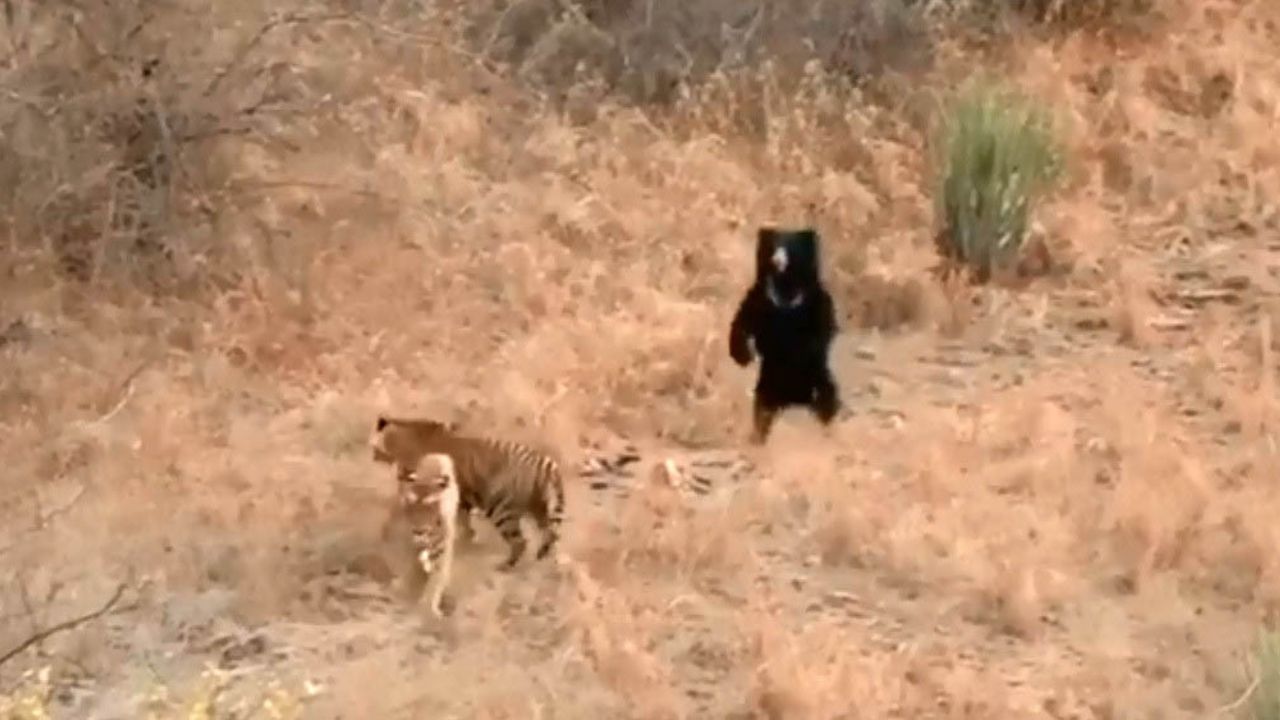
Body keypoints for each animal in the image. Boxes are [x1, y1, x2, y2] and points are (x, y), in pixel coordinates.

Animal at [370, 414, 566, 570]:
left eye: (374, 448)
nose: (372, 456)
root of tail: (546, 463)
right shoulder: (461, 499)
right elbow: (463, 521)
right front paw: (466, 538)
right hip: (538, 510)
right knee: (551, 535)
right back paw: (544, 558)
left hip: (501, 510)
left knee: (521, 542)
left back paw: (505, 566)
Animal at [392, 453, 461, 617]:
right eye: (411, 503)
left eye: (430, 505)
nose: (418, 530)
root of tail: (437, 455)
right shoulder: (408, 546)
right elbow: (408, 568)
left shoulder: (442, 553)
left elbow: (435, 583)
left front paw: (428, 608)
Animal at [728, 226, 841, 444]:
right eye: (773, 245)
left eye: (791, 246)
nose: (777, 260)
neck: (785, 287)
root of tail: (794, 401)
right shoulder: (759, 298)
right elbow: (741, 323)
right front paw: (745, 357)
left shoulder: (818, 303)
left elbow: (821, 335)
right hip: (766, 386)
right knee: (762, 411)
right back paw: (757, 438)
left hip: (819, 380)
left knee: (827, 399)